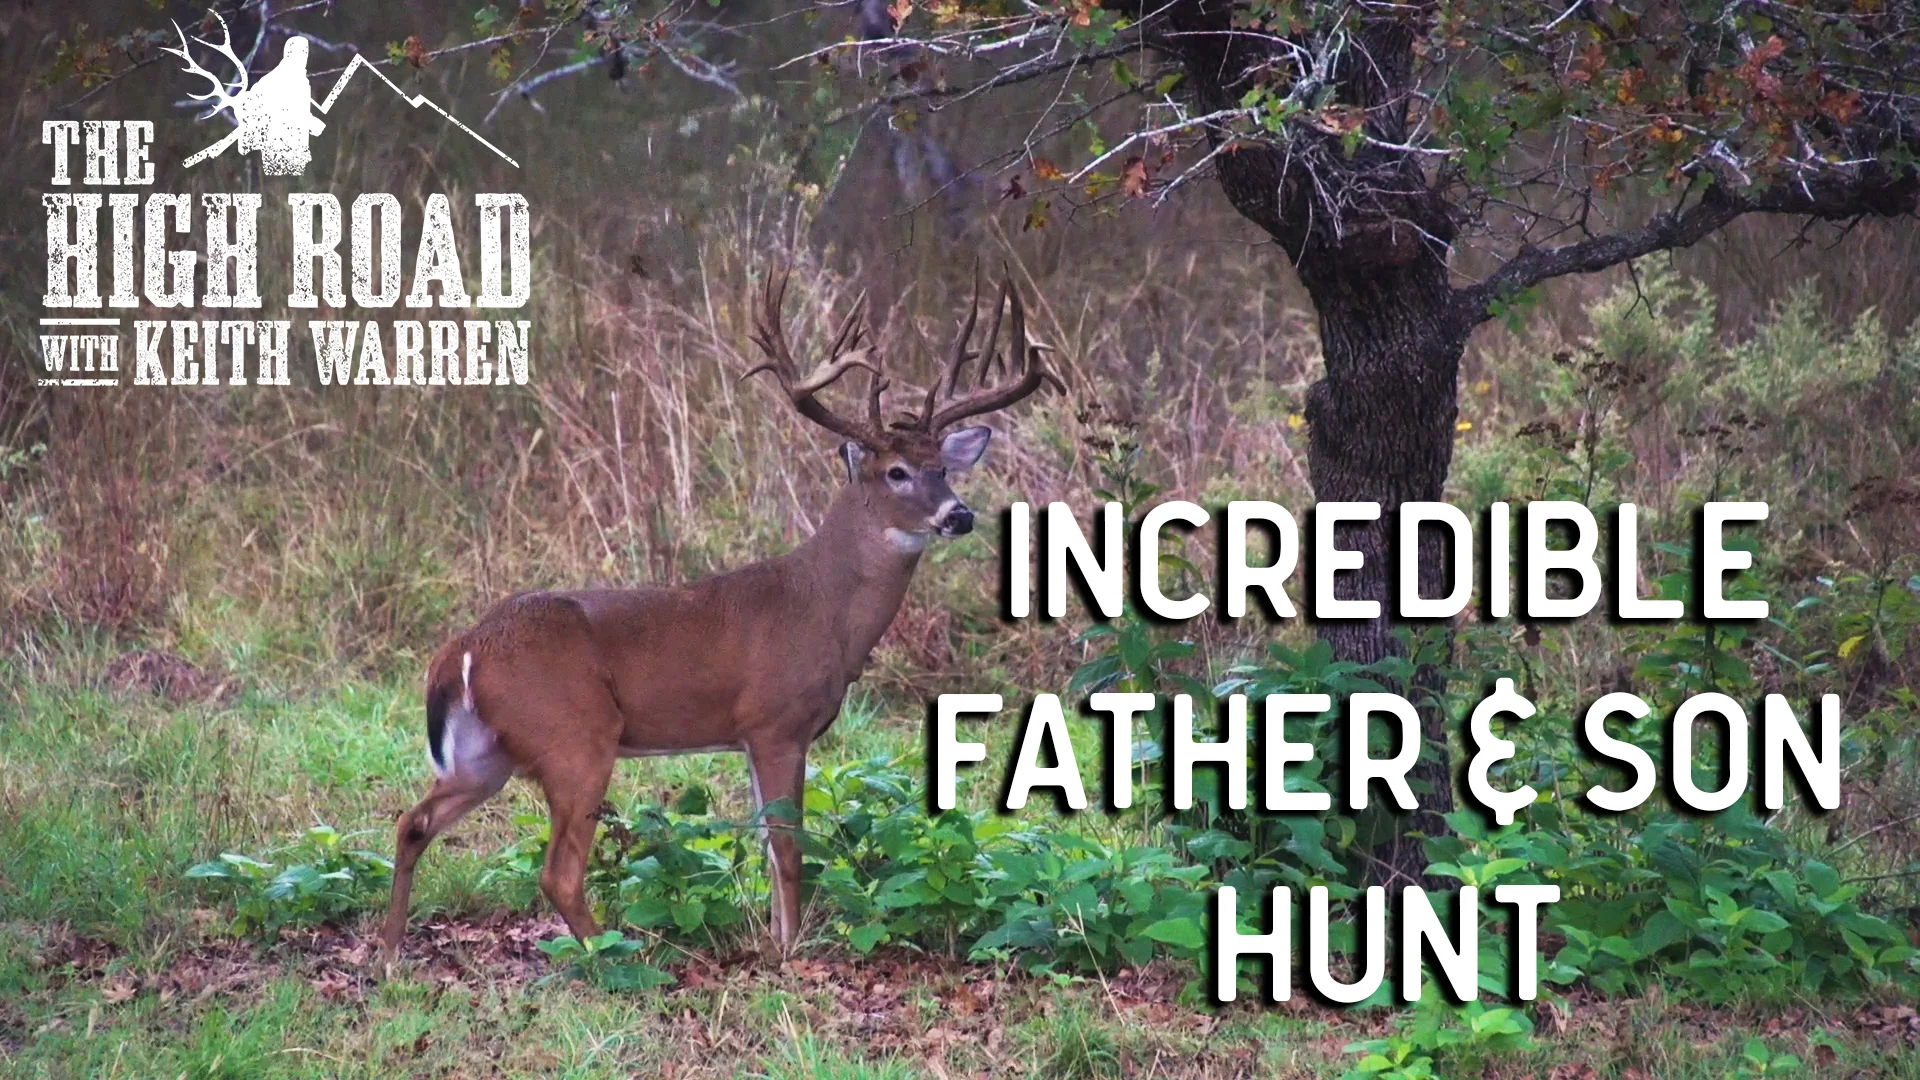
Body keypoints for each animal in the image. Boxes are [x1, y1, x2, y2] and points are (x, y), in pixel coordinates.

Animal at [379, 271, 1063, 963]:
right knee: (558, 870)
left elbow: (765, 842)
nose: (959, 514)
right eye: (895, 471)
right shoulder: (775, 719)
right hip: (575, 734)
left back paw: (389, 954)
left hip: (486, 753)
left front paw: (777, 938)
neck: (822, 605)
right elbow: (787, 845)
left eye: (942, 467)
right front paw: (789, 951)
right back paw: (618, 956)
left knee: (413, 822)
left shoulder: (751, 734)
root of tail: (462, 650)